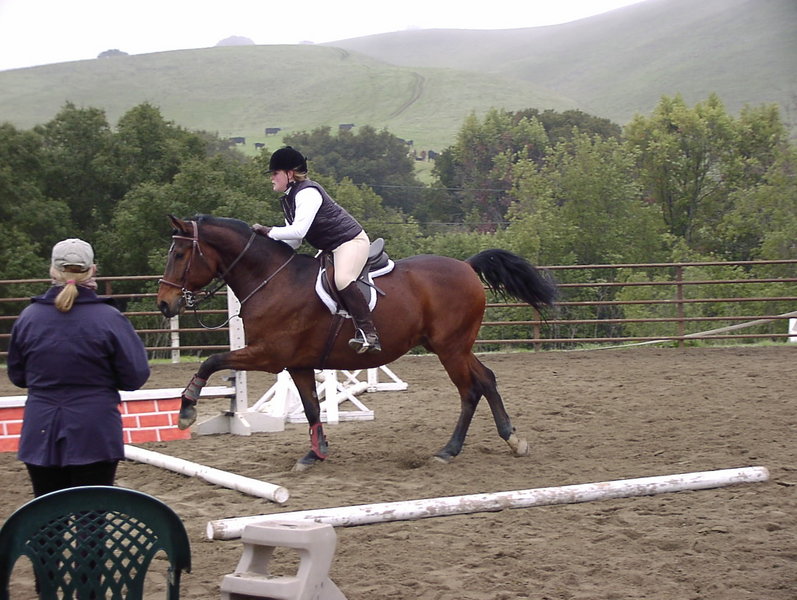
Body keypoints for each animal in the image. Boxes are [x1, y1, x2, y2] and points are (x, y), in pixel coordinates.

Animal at [156, 215, 557, 471]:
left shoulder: (268, 355)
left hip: (450, 349)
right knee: (486, 379)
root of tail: (467, 266)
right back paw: (512, 439)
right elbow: (311, 408)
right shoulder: (297, 364)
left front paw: (186, 411)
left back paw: (448, 451)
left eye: (179, 254)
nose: (164, 304)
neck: (271, 279)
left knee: (470, 390)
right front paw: (315, 454)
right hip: (452, 346)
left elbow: (211, 362)